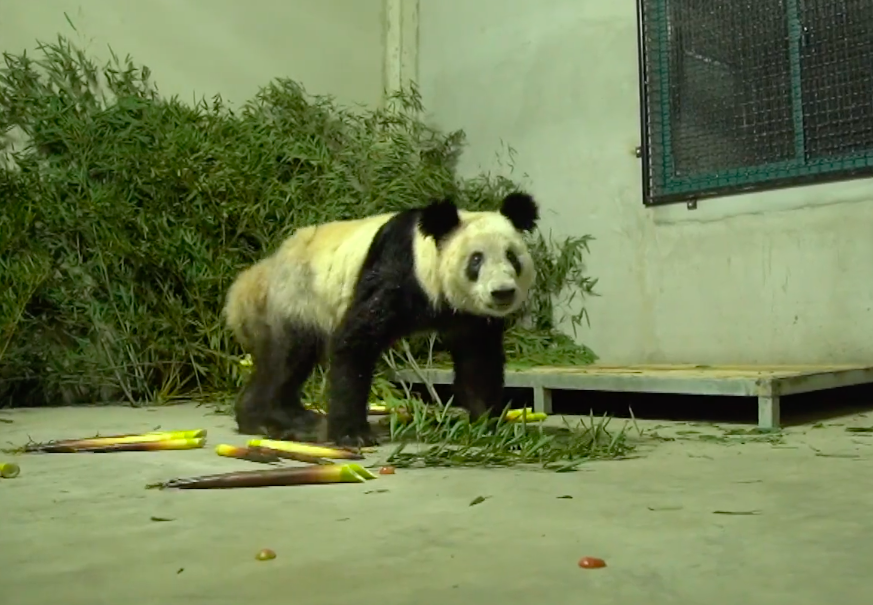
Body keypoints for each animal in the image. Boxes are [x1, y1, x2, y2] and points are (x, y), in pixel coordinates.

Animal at [223, 191, 540, 446]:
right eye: (476, 259)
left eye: (512, 257)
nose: (502, 292)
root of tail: (259, 275)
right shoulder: (395, 273)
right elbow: (355, 342)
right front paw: (353, 435)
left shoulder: (470, 315)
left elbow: (479, 360)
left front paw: (489, 423)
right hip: (298, 297)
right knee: (286, 358)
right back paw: (272, 420)